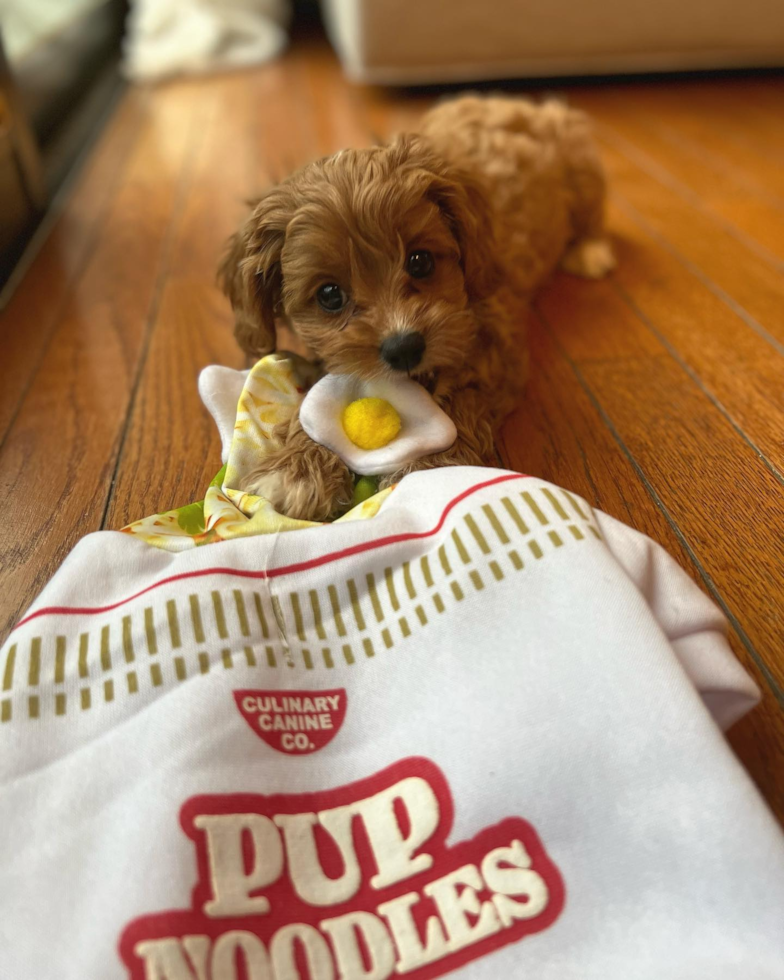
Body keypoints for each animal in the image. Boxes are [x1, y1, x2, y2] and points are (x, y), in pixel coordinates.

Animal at [219, 94, 612, 520]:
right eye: (329, 295)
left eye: (420, 261)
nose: (404, 348)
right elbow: (311, 405)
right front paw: (296, 468)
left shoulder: (493, 340)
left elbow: (460, 396)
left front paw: (430, 467)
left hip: (583, 171)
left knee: (591, 218)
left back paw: (590, 252)